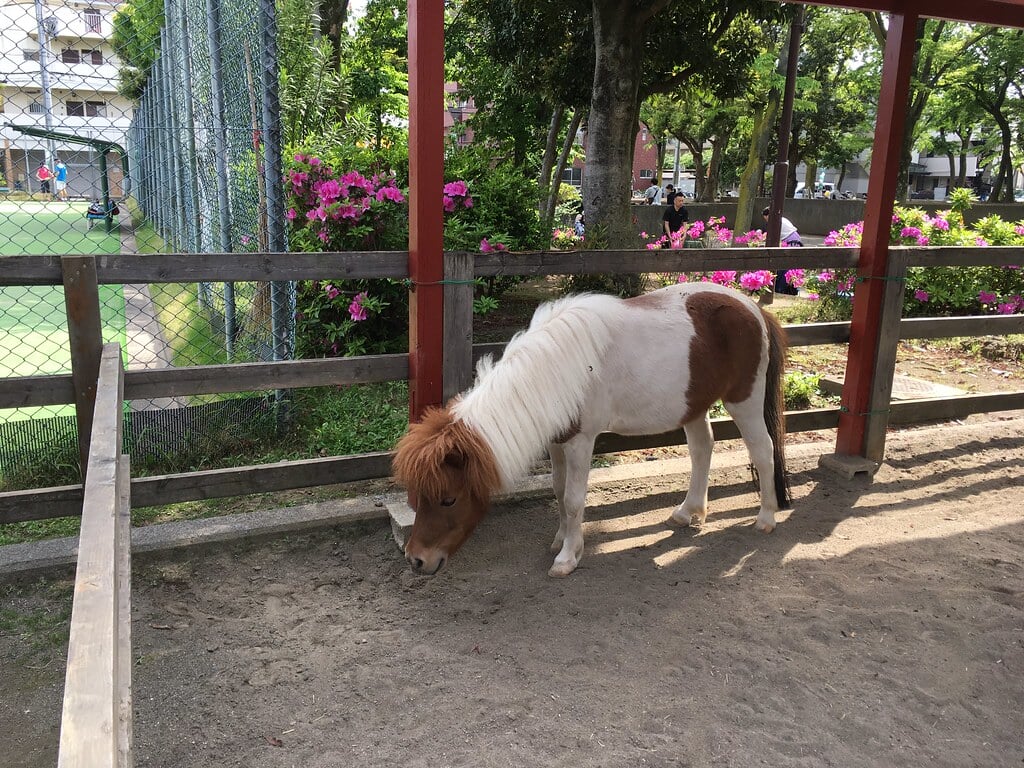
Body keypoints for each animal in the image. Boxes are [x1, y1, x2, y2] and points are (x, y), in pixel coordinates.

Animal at [391, 282, 790, 577]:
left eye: (448, 499)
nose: (416, 560)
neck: (554, 369)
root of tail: (754, 308)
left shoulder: (581, 443)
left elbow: (573, 499)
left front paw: (568, 557)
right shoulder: (557, 441)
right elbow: (558, 490)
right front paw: (561, 539)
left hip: (744, 401)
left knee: (763, 450)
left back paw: (766, 518)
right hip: (694, 405)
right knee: (702, 449)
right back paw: (688, 511)